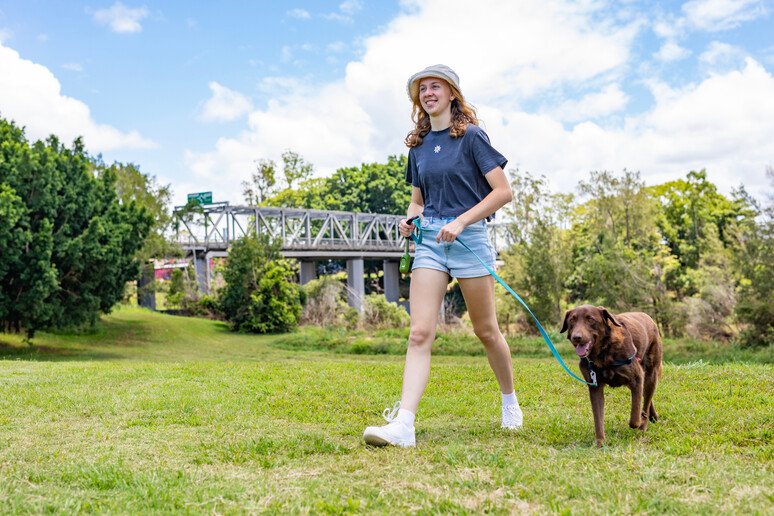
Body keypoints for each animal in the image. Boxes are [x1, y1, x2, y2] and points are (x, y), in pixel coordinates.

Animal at [560, 304, 664, 446]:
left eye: (590, 319)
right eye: (572, 320)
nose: (577, 337)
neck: (603, 353)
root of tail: (647, 316)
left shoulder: (636, 379)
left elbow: (634, 419)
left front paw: (641, 421)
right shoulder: (595, 387)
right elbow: (598, 419)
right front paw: (600, 443)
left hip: (651, 372)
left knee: (647, 398)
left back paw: (644, 424)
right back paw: (652, 416)